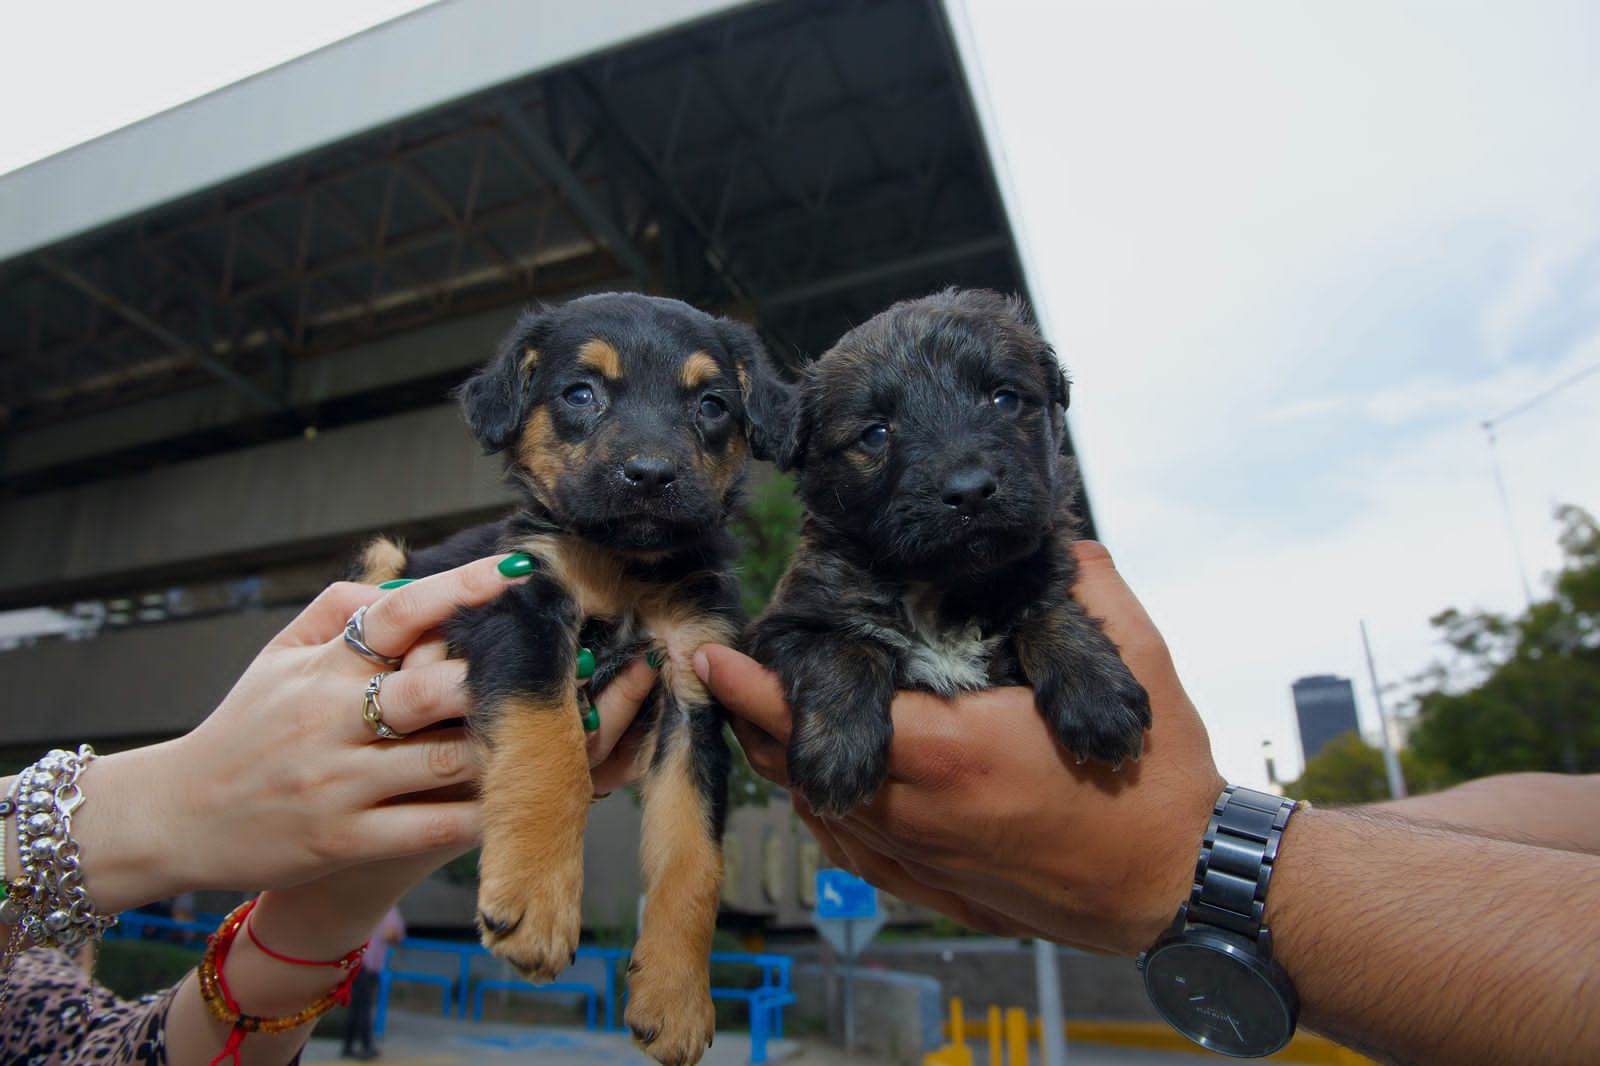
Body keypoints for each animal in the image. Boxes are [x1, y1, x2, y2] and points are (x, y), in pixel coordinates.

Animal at [352, 291, 787, 1062]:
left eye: (712, 404)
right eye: (580, 393)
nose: (651, 475)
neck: (625, 568)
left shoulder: (694, 690)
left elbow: (694, 858)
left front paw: (676, 998)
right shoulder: (522, 611)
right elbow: (550, 752)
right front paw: (536, 902)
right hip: (385, 561)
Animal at [745, 288, 1152, 813]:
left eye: (1004, 398)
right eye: (876, 432)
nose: (971, 491)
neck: (943, 586)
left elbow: (1047, 611)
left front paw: (1097, 693)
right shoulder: (781, 626)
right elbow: (842, 646)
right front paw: (837, 751)